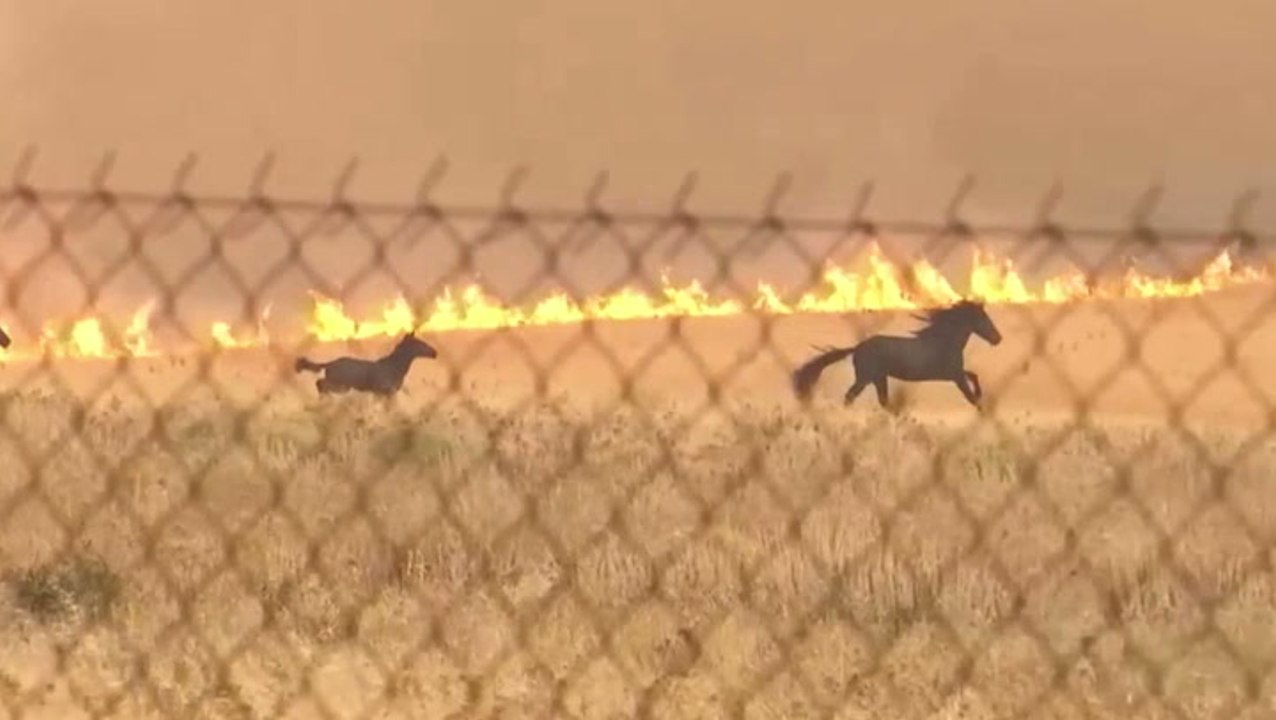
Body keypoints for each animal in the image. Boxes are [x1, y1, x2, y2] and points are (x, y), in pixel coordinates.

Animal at [295, 333, 438, 397]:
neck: (396, 367)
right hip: (341, 386)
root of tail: (331, 363)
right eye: (420, 343)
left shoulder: (383, 394)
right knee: (320, 383)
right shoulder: (386, 392)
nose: (434, 353)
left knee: (320, 384)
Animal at [791, 300, 1002, 408]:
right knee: (850, 396)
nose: (997, 339)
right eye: (984, 319)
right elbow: (971, 396)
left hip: (879, 378)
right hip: (865, 378)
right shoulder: (954, 375)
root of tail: (858, 347)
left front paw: (980, 394)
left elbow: (974, 376)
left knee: (883, 402)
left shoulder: (954, 373)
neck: (945, 341)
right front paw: (981, 405)